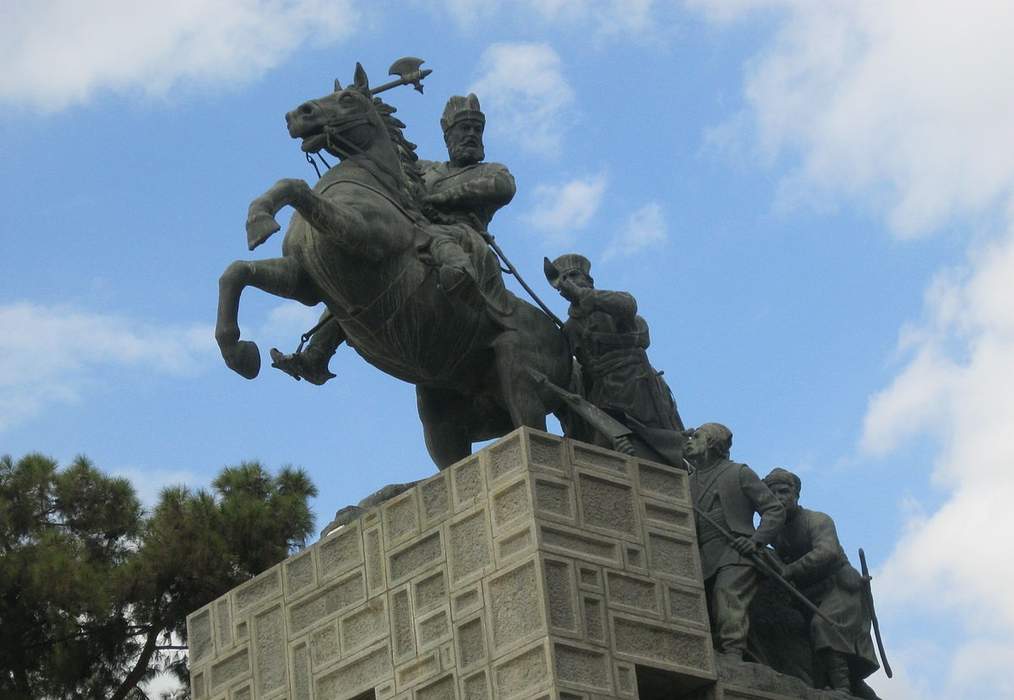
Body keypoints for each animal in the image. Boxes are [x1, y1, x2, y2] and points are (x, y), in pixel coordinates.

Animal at [214, 65, 575, 466]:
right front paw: (240, 354)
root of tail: (565, 340)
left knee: (534, 428)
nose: (298, 114)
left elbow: (295, 187)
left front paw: (260, 220)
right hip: (439, 408)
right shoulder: (304, 281)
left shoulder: (363, 235)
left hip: (520, 380)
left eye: (347, 99)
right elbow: (236, 272)